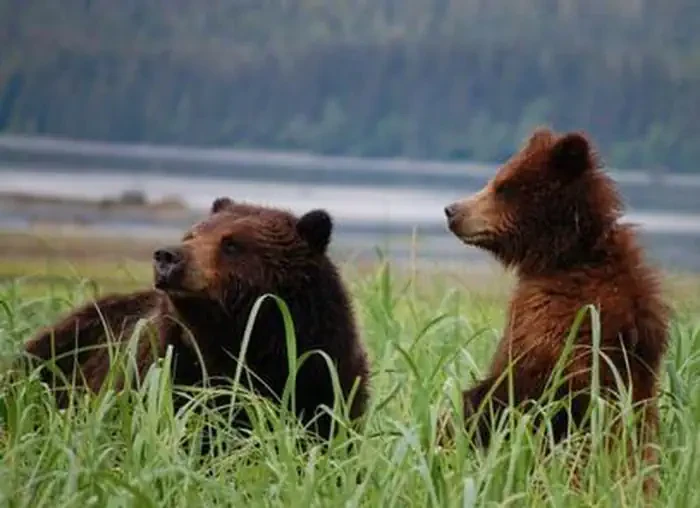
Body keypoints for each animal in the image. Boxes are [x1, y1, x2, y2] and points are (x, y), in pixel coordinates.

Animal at [441, 127, 669, 495]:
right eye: (498, 179)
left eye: (503, 186)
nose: (452, 210)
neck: (565, 256)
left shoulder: (557, 323)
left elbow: (509, 390)